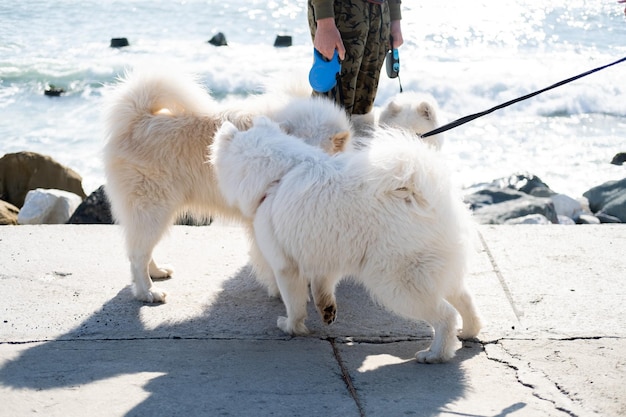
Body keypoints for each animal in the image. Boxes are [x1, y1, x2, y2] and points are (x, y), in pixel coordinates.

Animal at [105, 67, 354, 302]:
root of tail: (136, 119)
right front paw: (283, 291)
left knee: (142, 250)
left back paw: (157, 272)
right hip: (153, 210)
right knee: (137, 255)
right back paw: (148, 292)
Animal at [212, 116, 480, 360]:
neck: (278, 177)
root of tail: (421, 196)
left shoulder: (285, 266)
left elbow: (294, 303)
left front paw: (291, 327)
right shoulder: (326, 255)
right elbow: (323, 286)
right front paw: (326, 309)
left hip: (396, 283)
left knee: (445, 315)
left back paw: (435, 354)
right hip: (438, 271)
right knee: (465, 299)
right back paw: (469, 331)